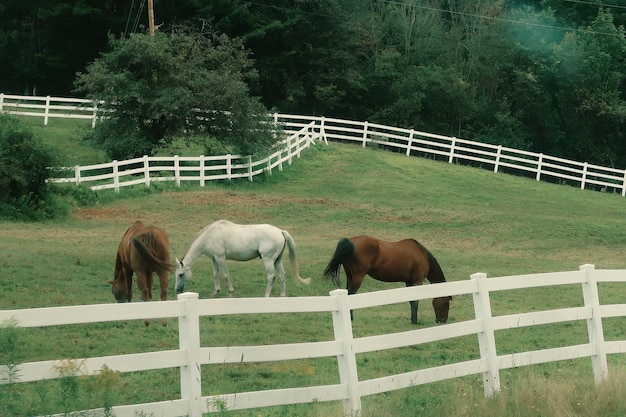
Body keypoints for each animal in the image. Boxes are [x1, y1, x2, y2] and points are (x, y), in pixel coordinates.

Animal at [174, 219, 310, 298]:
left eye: (181, 274)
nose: (177, 290)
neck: (211, 235)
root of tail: (280, 231)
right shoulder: (214, 259)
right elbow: (215, 275)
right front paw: (216, 291)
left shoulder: (221, 258)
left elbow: (225, 275)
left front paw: (230, 292)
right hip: (277, 261)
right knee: (282, 275)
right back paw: (282, 296)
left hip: (268, 261)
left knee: (271, 277)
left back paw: (266, 296)